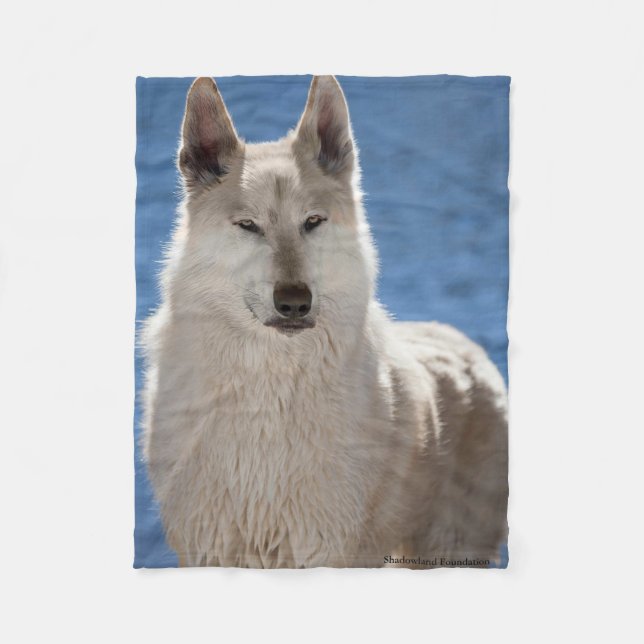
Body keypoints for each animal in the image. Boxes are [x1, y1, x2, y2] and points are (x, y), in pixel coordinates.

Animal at [142, 75, 508, 568]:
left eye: (312, 222)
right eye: (249, 226)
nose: (294, 303)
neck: (269, 397)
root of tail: (463, 341)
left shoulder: (326, 549)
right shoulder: (210, 549)